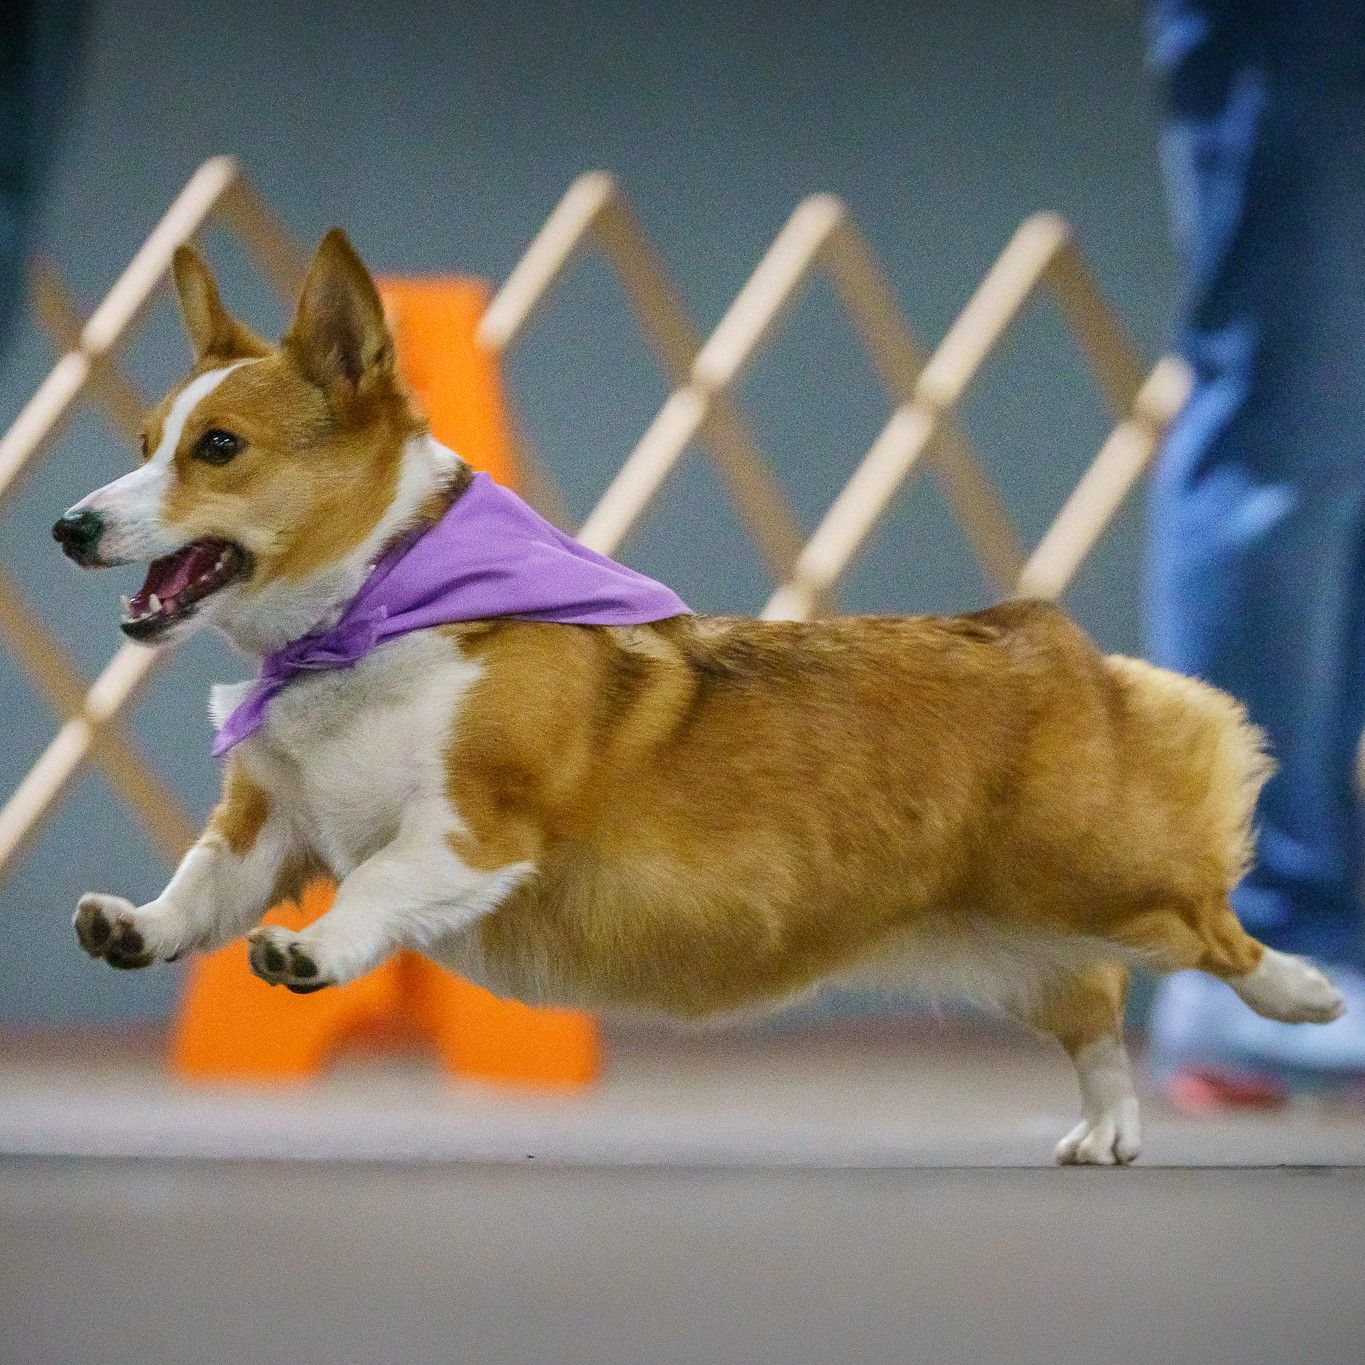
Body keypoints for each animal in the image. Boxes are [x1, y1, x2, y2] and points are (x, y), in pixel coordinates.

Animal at [55, 232, 1343, 1162]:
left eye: (219, 448)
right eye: (144, 439)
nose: (68, 526)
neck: (368, 621)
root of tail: (1039, 639)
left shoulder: (474, 829)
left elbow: (372, 886)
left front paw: (311, 953)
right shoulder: (268, 822)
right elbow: (199, 889)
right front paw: (133, 928)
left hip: (1094, 876)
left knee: (1208, 926)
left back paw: (1308, 995)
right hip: (1021, 936)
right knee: (1095, 1014)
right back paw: (1110, 1131)